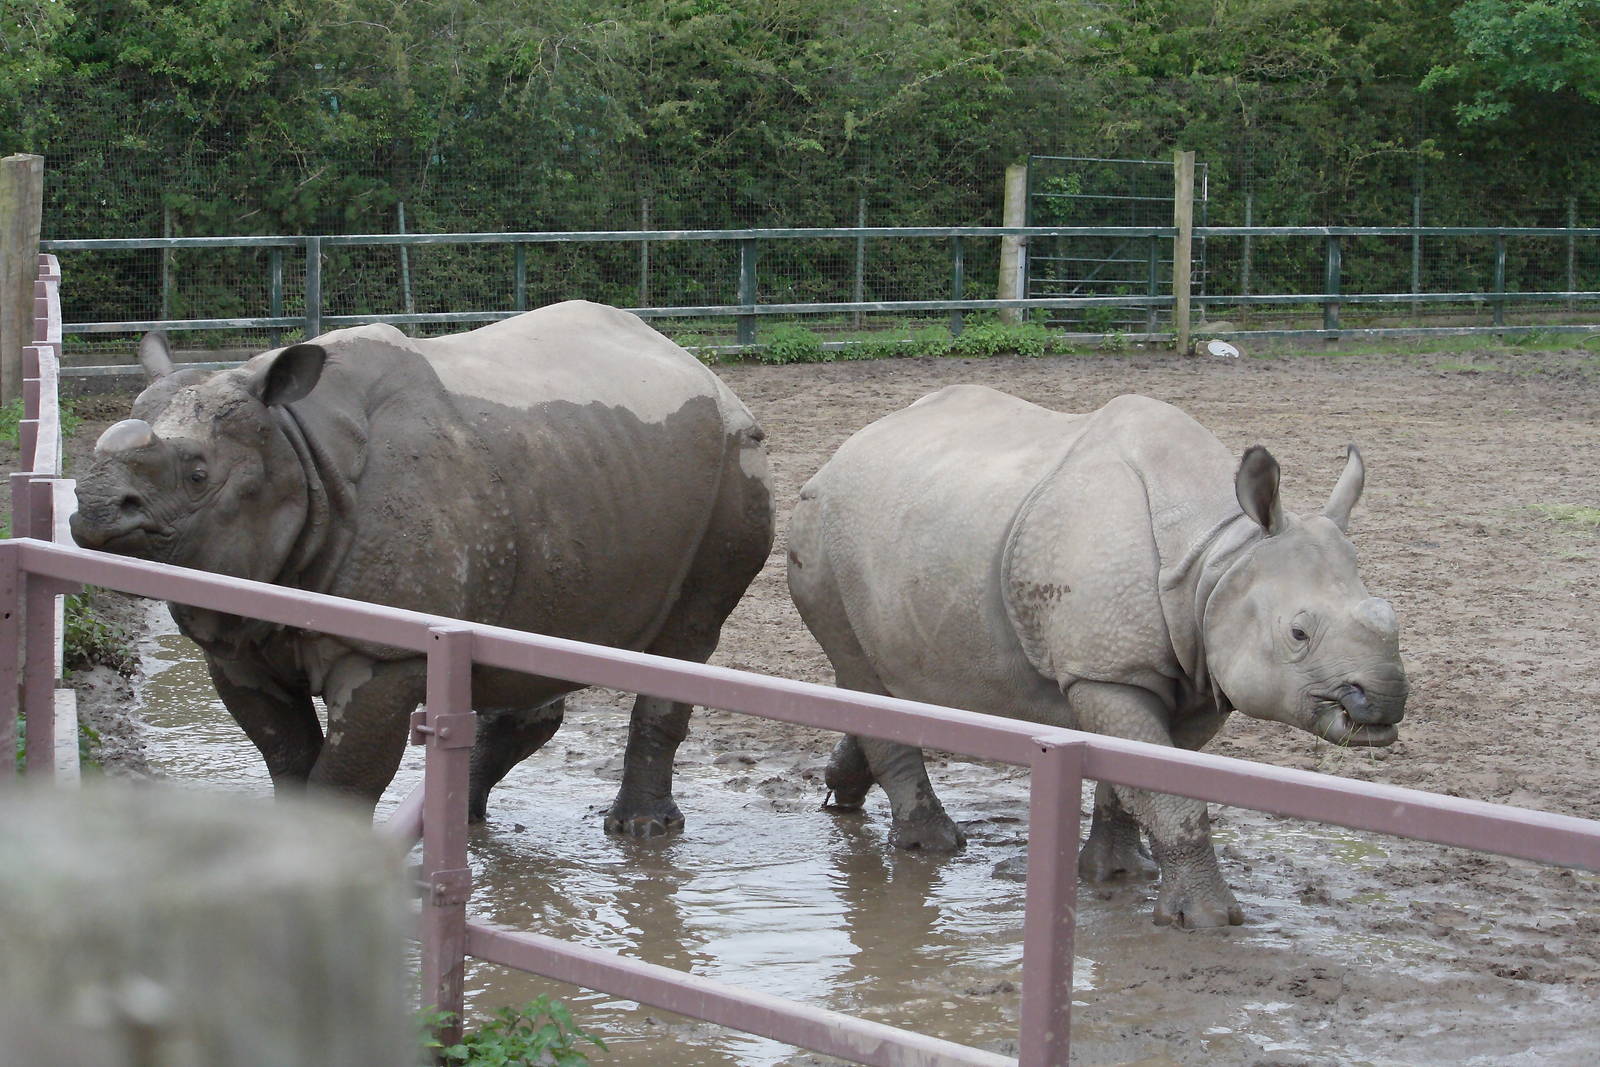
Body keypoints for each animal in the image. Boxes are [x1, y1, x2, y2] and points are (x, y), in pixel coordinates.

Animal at [71, 301, 775, 833]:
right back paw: (460, 823)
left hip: (736, 463)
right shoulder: (236, 640)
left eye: (198, 476)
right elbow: (289, 758)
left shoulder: (384, 655)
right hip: (576, 472)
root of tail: (700, 368)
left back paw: (640, 831)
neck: (295, 445)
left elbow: (342, 778)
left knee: (687, 638)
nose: (94, 509)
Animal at [786, 386, 1407, 928]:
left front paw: (1117, 874)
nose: (1385, 700)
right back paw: (933, 847)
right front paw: (1207, 920)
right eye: (1299, 633)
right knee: (859, 669)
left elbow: (1137, 776)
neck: (1217, 557)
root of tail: (843, 450)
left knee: (882, 682)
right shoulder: (1108, 673)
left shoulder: (1191, 679)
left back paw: (841, 793)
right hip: (819, 529)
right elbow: (1168, 791)